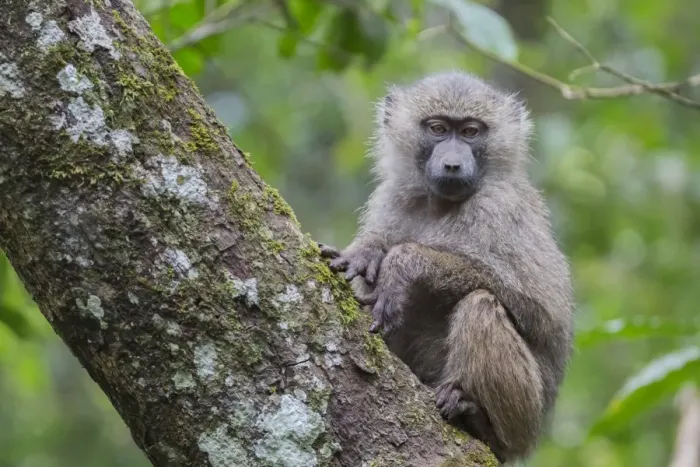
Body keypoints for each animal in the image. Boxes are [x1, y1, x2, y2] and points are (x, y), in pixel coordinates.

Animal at [319, 71, 574, 464]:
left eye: (470, 132)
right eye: (438, 129)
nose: (453, 164)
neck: (441, 204)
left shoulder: (498, 208)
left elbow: (542, 311)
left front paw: (403, 263)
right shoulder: (392, 197)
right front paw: (366, 250)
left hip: (528, 417)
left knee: (479, 305)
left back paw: (479, 421)